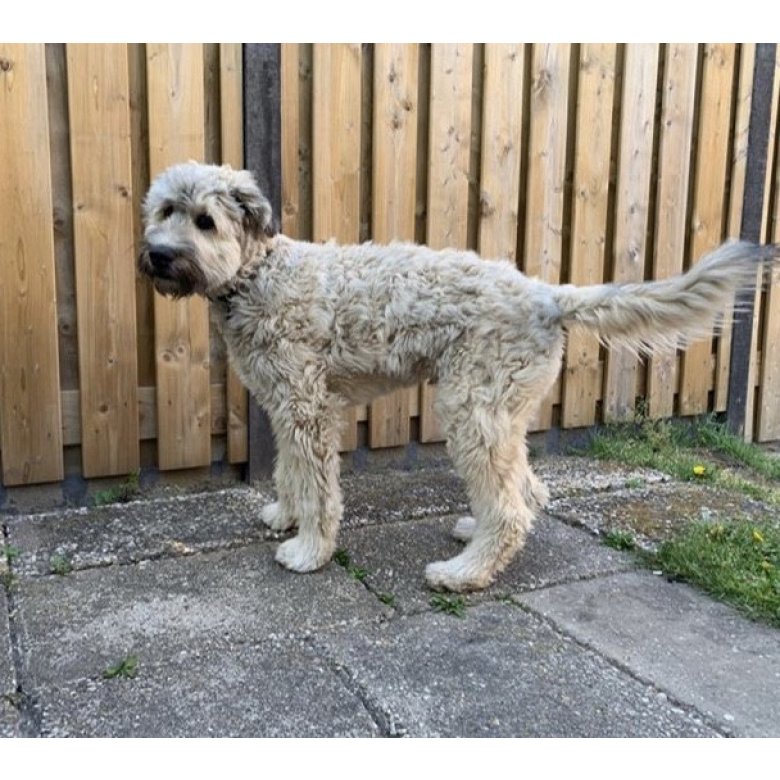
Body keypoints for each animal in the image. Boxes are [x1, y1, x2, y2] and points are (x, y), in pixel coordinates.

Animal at [139, 163, 772, 592]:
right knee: (527, 491)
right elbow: (292, 473)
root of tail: (548, 295)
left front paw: (310, 549)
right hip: (500, 413)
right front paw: (286, 518)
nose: (159, 256)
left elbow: (319, 488)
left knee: (513, 509)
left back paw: (463, 573)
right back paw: (476, 536)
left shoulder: (307, 408)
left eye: (206, 221)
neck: (256, 275)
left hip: (471, 412)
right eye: (164, 211)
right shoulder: (285, 405)